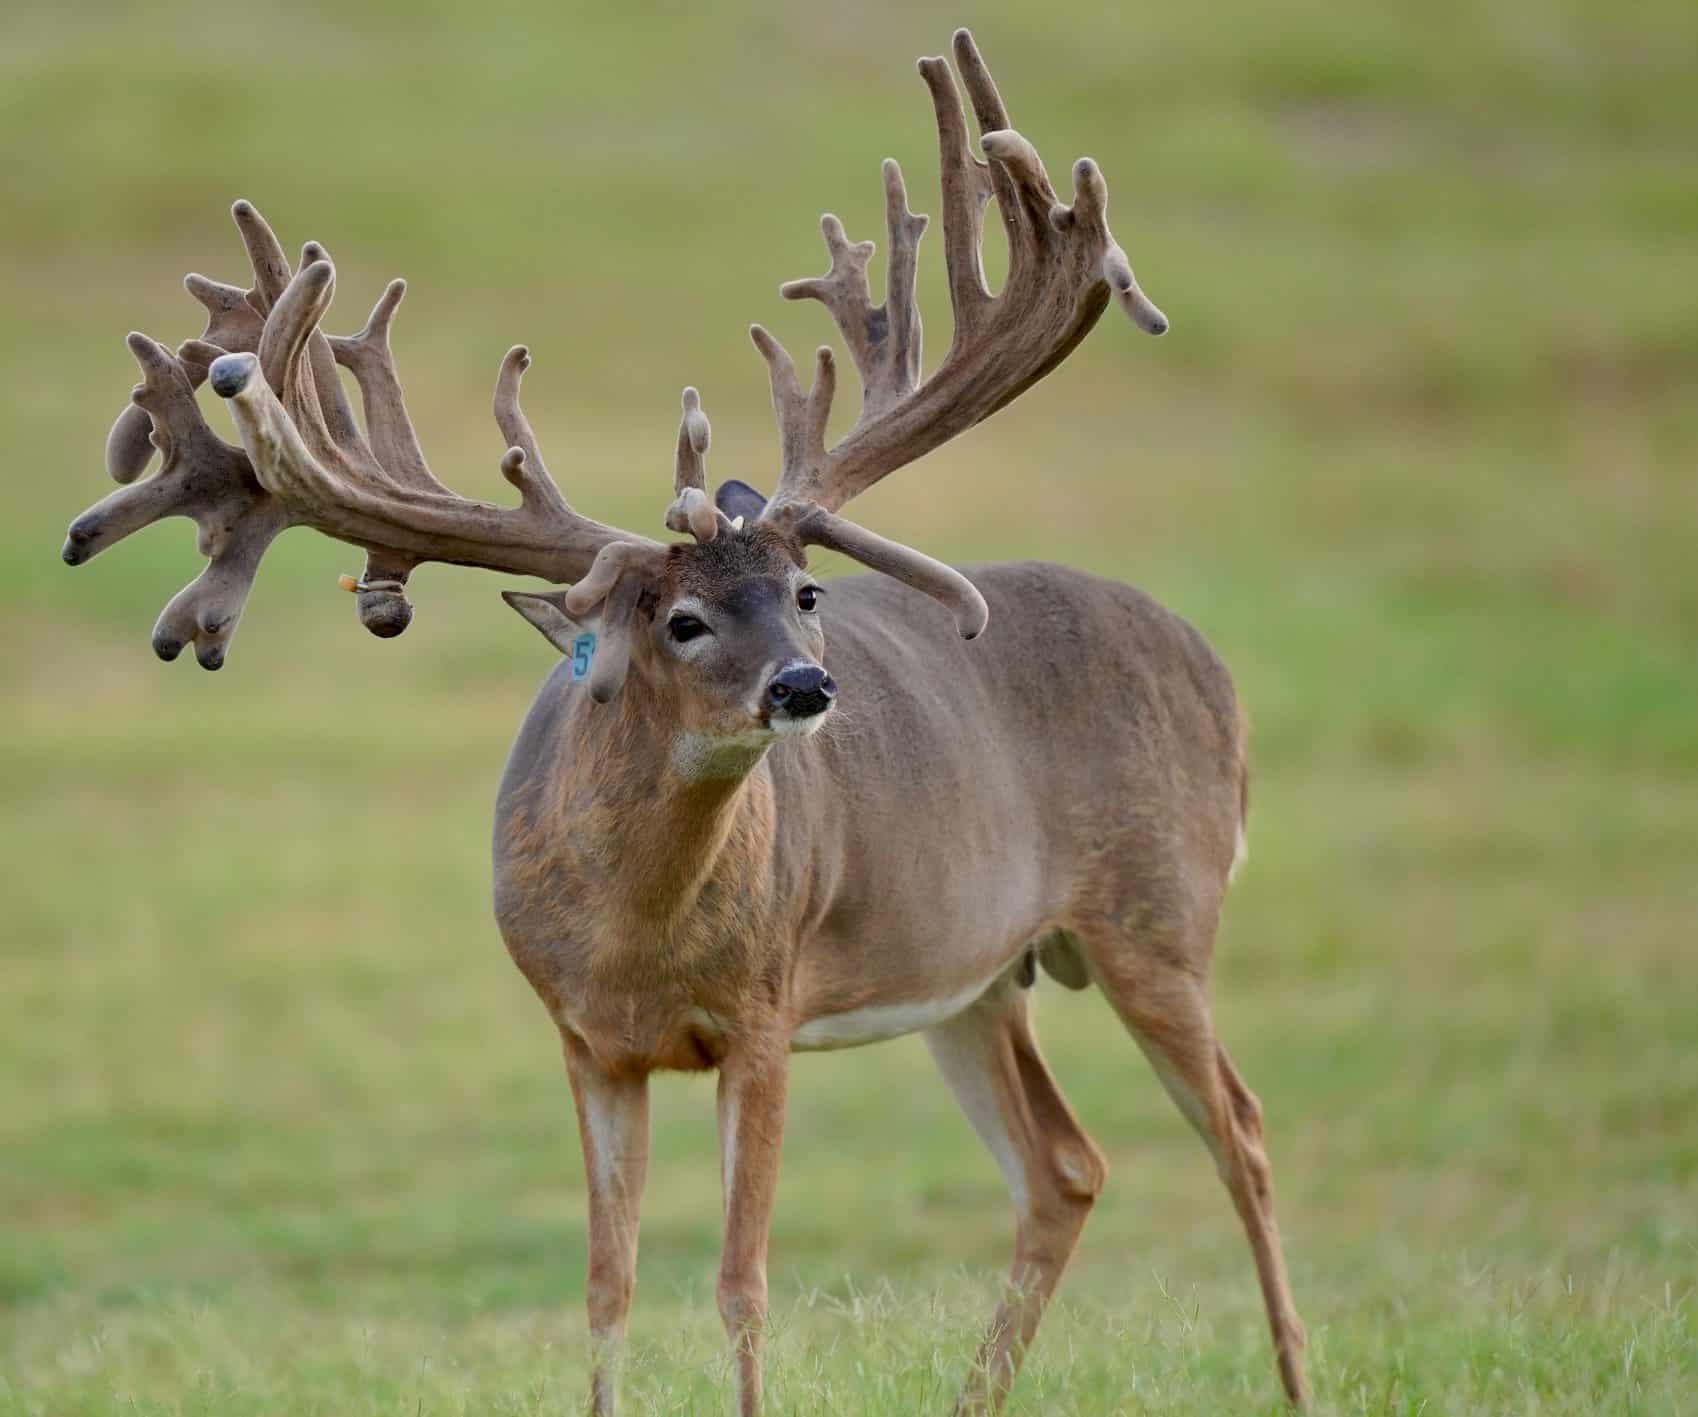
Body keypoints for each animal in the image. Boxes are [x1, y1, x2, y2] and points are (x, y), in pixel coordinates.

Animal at [61, 28, 1307, 1416]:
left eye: (806, 591)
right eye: (684, 620)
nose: (806, 688)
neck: (637, 938)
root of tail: (1211, 664)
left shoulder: (763, 1013)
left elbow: (739, 1281)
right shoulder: (584, 1039)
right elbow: (607, 1283)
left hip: (1161, 904)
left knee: (1243, 1131)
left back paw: (1296, 1378)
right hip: (983, 976)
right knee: (1067, 1165)